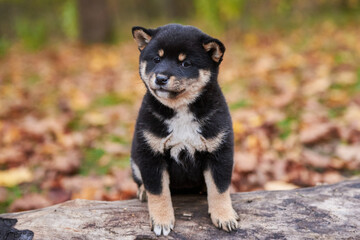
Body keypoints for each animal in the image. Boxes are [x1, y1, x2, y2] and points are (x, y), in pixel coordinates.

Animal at [130, 24, 239, 236]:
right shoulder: (150, 154)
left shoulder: (219, 151)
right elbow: (158, 192)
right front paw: (162, 220)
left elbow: (219, 189)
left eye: (185, 63)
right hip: (135, 162)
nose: (161, 78)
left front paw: (224, 216)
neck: (180, 111)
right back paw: (142, 191)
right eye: (157, 59)